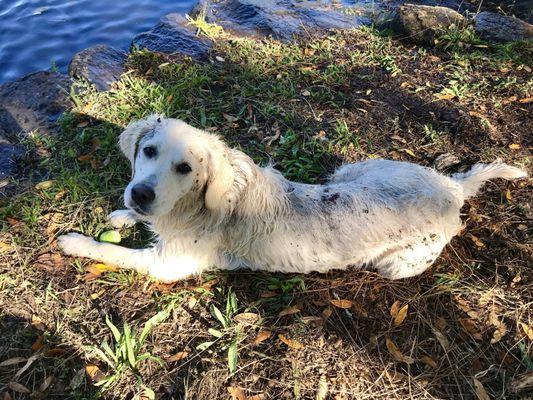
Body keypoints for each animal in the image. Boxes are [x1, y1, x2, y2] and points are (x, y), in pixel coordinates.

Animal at [57, 115, 524, 282]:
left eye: (185, 168)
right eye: (149, 151)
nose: (141, 192)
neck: (196, 206)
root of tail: (452, 188)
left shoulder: (167, 265)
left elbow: (113, 252)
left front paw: (76, 242)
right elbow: (140, 221)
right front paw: (122, 215)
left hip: (397, 265)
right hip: (355, 167)